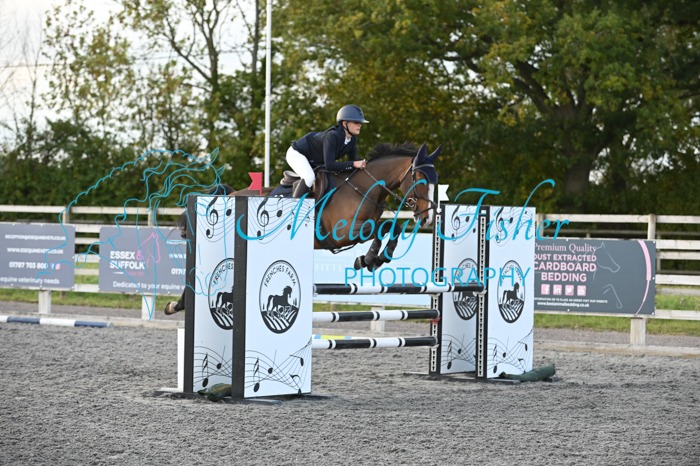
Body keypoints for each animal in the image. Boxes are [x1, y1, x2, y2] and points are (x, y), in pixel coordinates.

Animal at [164, 141, 440, 315]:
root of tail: (231, 194)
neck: (363, 188)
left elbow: (393, 227)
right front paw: (369, 258)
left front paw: (377, 258)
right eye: (421, 180)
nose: (427, 218)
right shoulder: (344, 233)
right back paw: (176, 305)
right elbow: (383, 227)